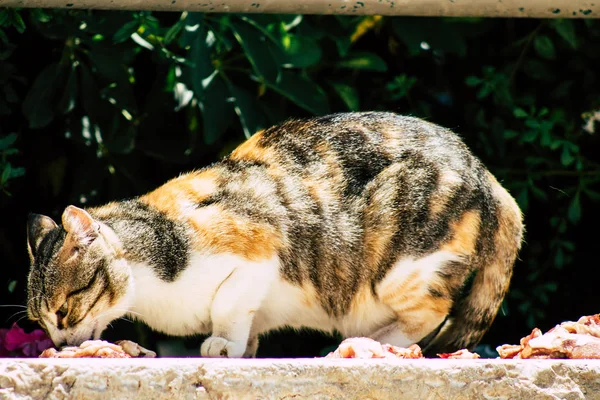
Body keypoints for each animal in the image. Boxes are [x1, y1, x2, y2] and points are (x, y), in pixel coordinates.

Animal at [25, 111, 524, 358]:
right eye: (42, 323)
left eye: (64, 310)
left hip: (401, 263)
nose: (61, 346)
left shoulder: (258, 247)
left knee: (430, 312)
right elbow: (247, 319)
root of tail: (485, 173)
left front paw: (223, 344)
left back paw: (370, 343)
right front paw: (242, 347)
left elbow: (227, 304)